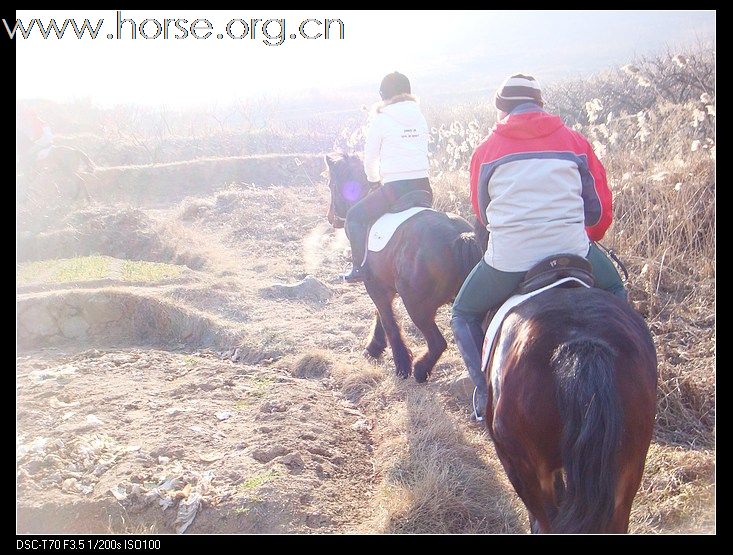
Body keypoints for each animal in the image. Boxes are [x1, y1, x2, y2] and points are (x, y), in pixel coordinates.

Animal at [324, 153, 484, 382]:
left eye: (331, 184)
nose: (331, 218)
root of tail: (459, 236)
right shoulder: (383, 285)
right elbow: (381, 315)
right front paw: (375, 347)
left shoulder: (374, 286)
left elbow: (388, 321)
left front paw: (400, 365)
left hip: (417, 306)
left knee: (438, 343)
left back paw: (420, 370)